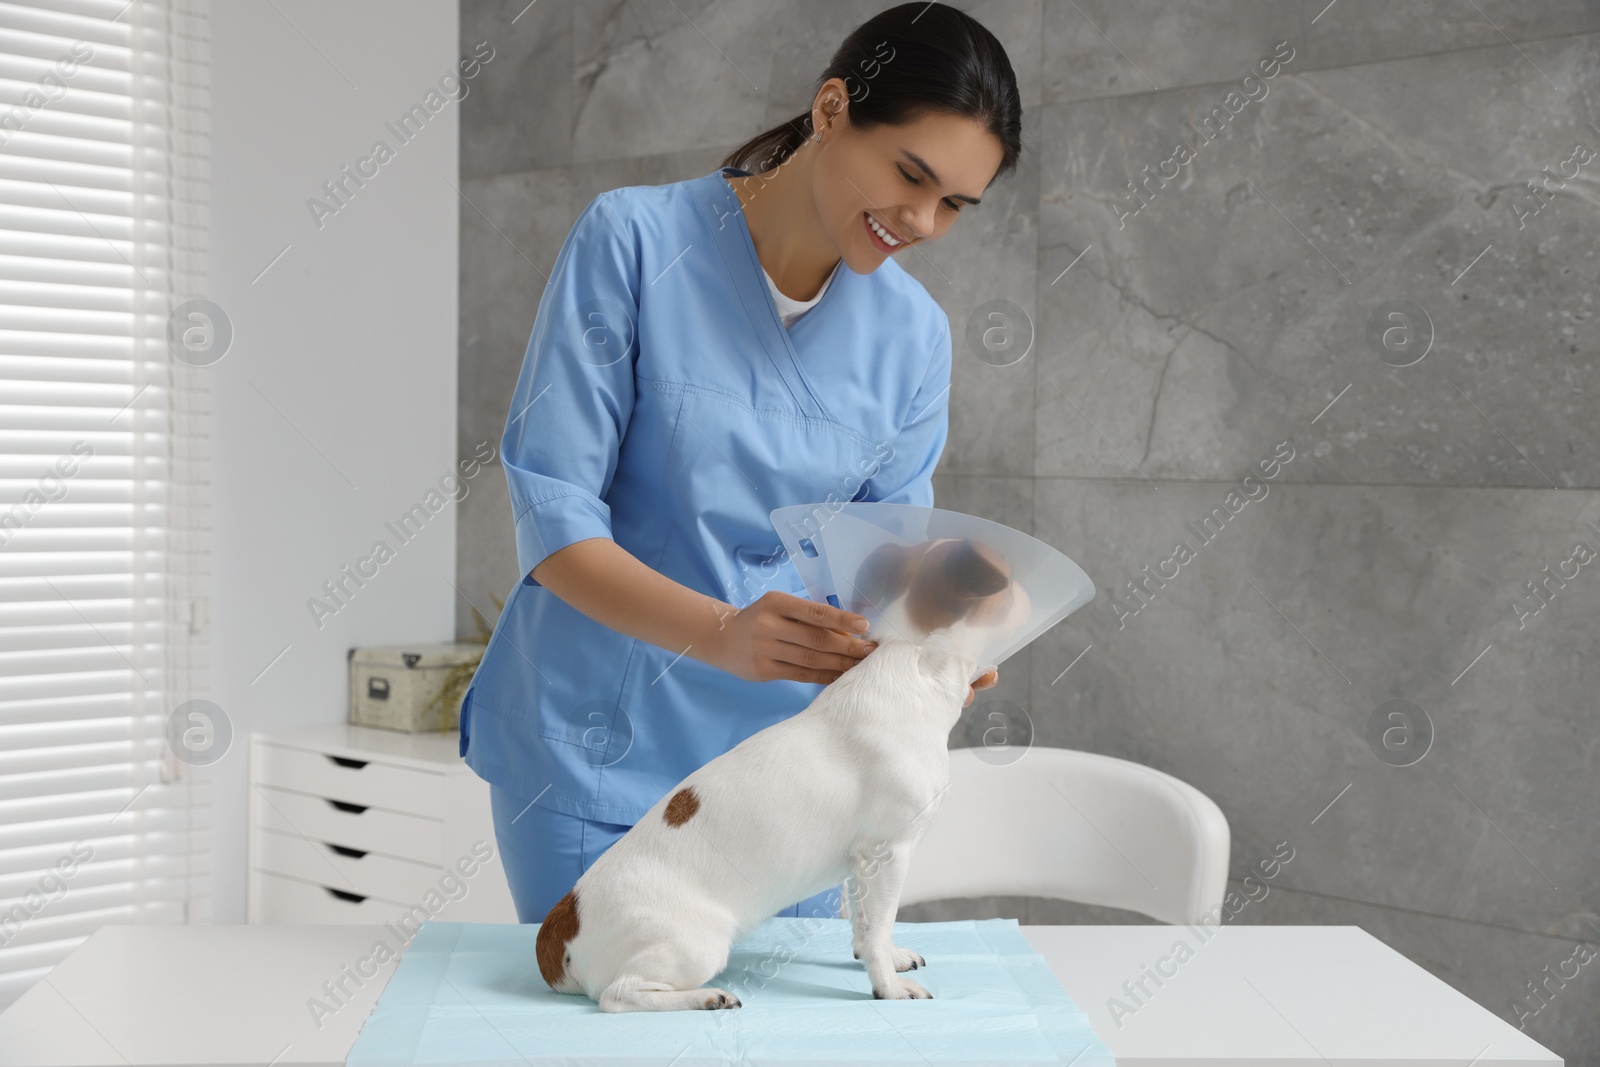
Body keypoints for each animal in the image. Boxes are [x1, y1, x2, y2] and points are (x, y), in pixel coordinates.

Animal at [537, 537, 1030, 1017]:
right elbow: (879, 924)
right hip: (696, 944)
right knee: (618, 996)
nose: (1027, 591)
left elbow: (867, 923)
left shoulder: (864, 861)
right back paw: (705, 998)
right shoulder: (889, 851)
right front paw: (888, 986)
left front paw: (887, 957)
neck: (913, 662)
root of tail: (560, 928)